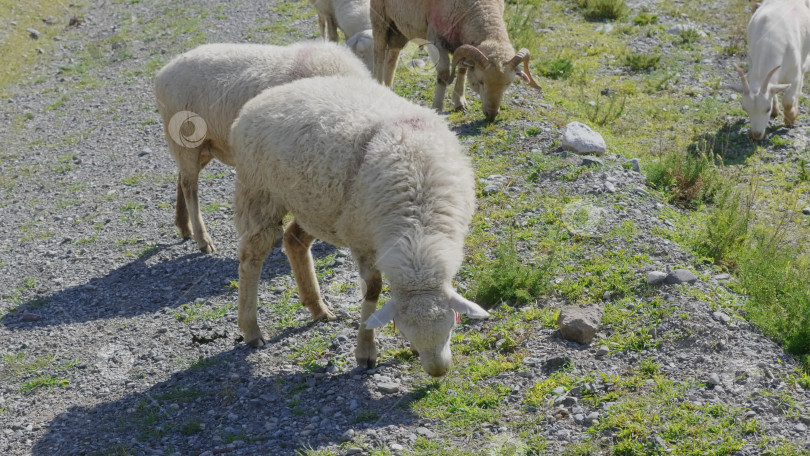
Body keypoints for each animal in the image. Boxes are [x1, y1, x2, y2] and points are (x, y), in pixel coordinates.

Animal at [153, 41, 370, 253]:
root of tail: (164, 71)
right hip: (186, 140)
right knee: (189, 185)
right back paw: (202, 239)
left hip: (207, 144)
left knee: (181, 177)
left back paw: (184, 227)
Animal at [230, 75, 490, 378]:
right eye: (404, 330)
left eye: (451, 326)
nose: (438, 371)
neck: (419, 228)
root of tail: (264, 97)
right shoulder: (362, 240)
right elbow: (373, 290)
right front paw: (366, 350)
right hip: (259, 190)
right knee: (252, 256)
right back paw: (251, 330)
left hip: (318, 206)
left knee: (294, 240)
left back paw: (317, 308)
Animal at [370, 0, 540, 120]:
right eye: (481, 82)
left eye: (508, 84)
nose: (491, 115)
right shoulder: (435, 37)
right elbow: (444, 73)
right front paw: (437, 108)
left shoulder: (462, 43)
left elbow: (462, 69)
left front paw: (460, 102)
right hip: (380, 16)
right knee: (379, 53)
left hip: (399, 26)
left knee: (393, 55)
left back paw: (388, 88)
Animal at [724, 0, 808, 141]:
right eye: (745, 108)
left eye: (767, 109)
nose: (756, 135)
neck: (769, 39)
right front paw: (777, 111)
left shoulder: (794, 75)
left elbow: (788, 101)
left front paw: (791, 119)